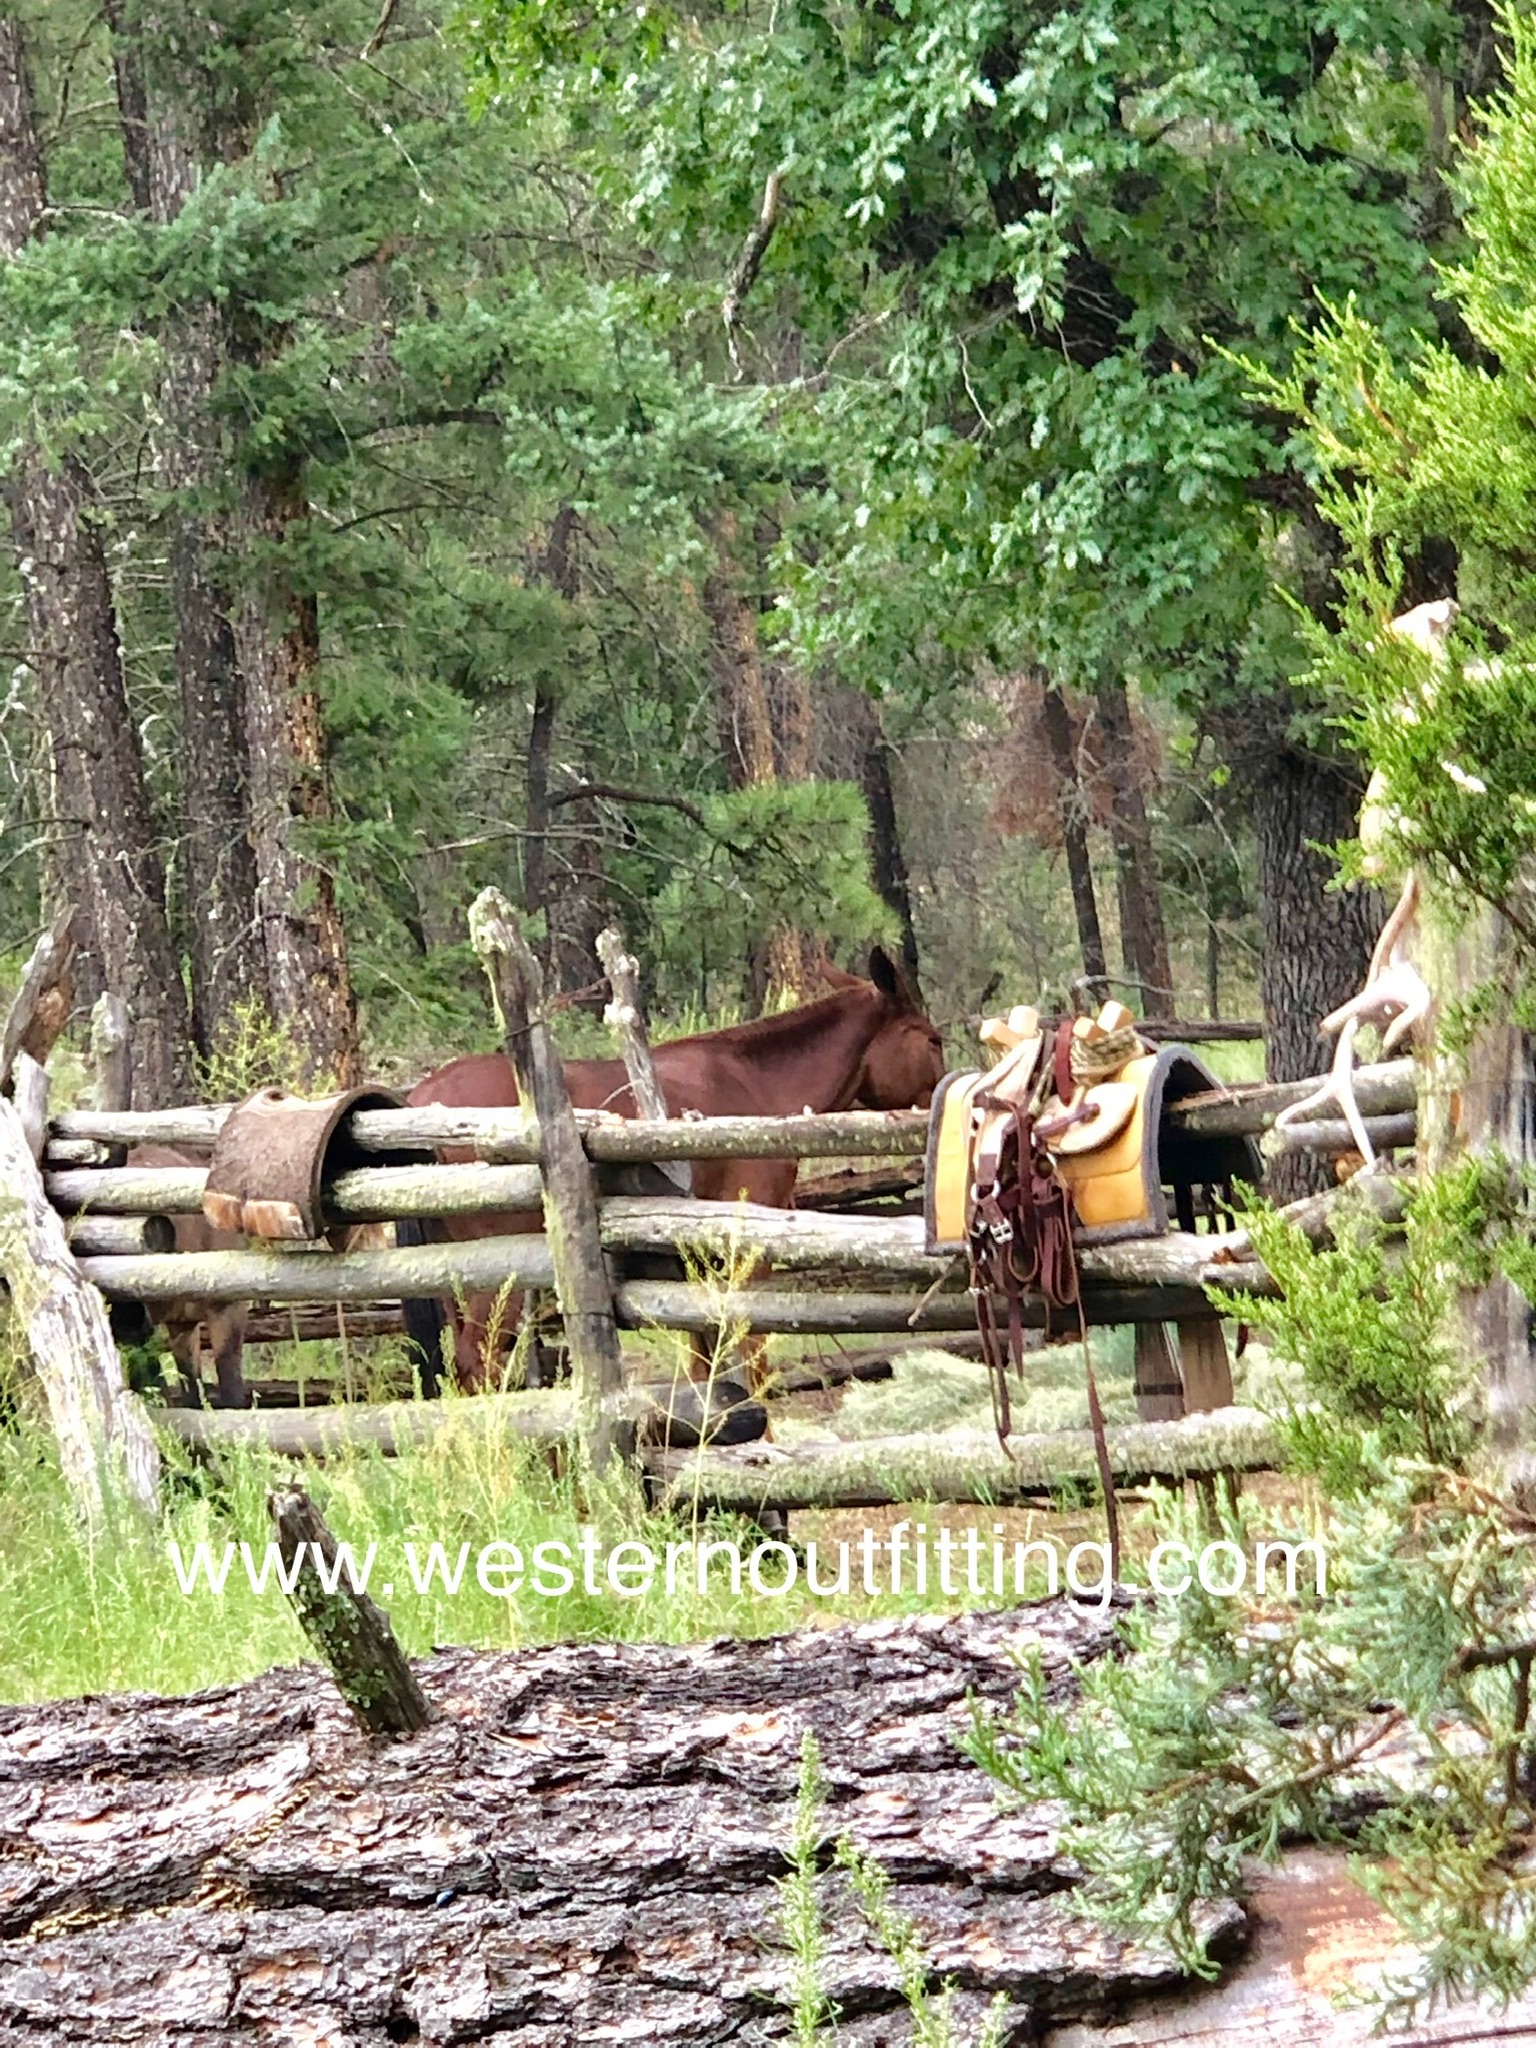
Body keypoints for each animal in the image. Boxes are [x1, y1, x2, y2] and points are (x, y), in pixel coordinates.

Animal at [403, 946, 946, 1392]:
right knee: (480, 1361)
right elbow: (750, 1362)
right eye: (933, 1039)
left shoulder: (693, 1264)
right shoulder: (744, 1253)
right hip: (495, 1275)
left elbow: (704, 1365)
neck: (765, 1090)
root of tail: (414, 1100)